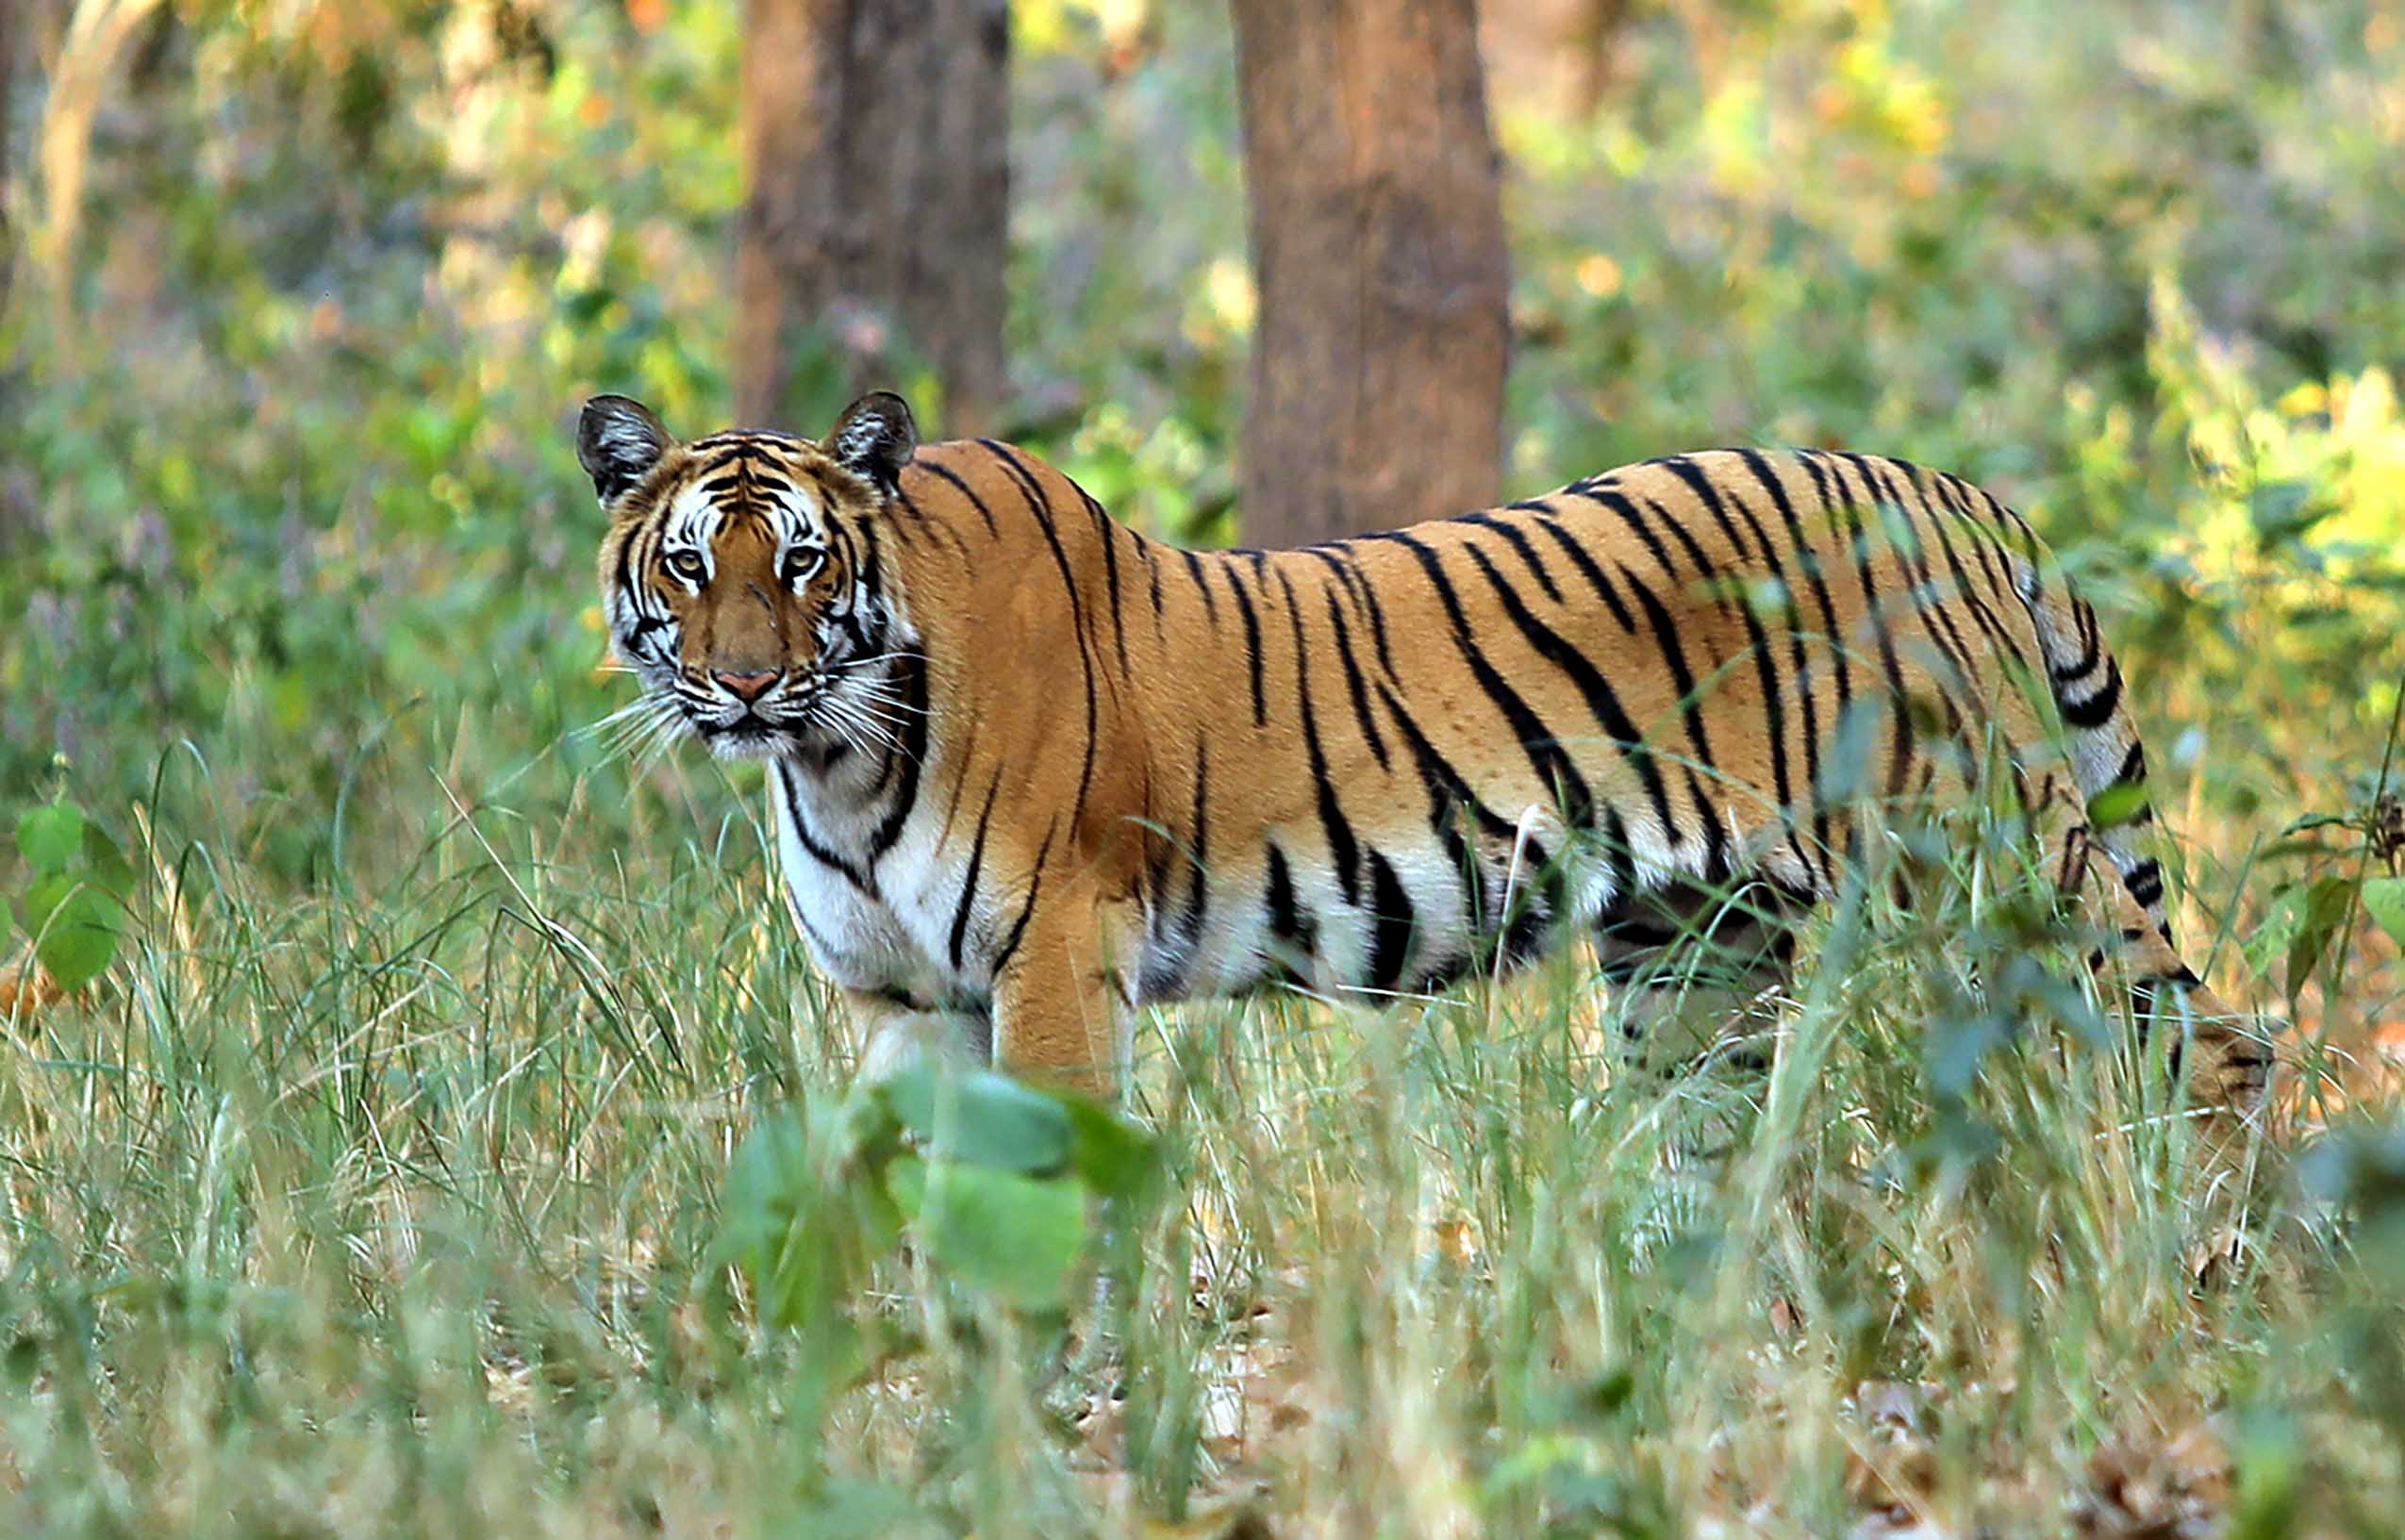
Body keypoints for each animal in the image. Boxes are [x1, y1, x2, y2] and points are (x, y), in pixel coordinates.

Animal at [577, 387, 2270, 1131]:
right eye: (688, 566)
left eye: (802, 565)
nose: (744, 680)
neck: (832, 759)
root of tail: (1949, 490)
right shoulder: (893, 1000)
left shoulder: (1051, 959)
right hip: (1694, 952)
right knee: (1702, 1147)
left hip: (1994, 863)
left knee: (2217, 1044)